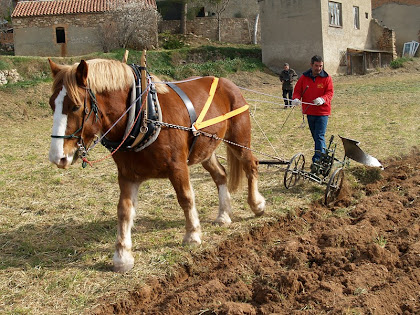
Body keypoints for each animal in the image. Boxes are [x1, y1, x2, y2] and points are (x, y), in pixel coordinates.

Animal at [47, 58, 266, 272]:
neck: (143, 114)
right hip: (205, 149)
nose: (57, 157)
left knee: (251, 166)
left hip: (239, 139)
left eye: (75, 106)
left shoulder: (178, 167)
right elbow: (124, 210)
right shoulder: (127, 175)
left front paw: (192, 235)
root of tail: (227, 82)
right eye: (51, 105)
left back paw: (256, 204)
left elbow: (186, 198)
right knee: (220, 175)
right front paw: (122, 255)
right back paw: (223, 215)